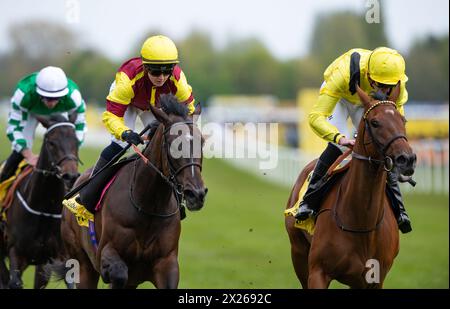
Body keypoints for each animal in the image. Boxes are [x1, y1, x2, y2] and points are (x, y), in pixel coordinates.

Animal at [1, 114, 80, 288]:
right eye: (51, 143)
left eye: (77, 141)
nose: (70, 176)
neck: (45, 208)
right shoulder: (16, 252)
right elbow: (14, 282)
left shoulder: (58, 258)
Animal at [60, 95, 207, 288]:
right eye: (173, 144)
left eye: (202, 142)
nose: (196, 194)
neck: (149, 206)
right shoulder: (107, 253)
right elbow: (118, 273)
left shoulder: (167, 263)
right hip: (83, 264)